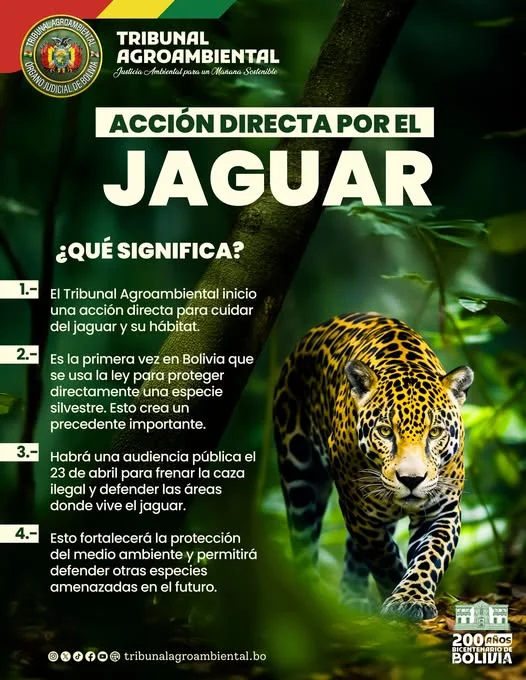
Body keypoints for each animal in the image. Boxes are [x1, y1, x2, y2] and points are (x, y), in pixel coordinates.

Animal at [273, 312, 473, 621]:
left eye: (435, 433)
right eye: (385, 432)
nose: (411, 479)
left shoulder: (441, 510)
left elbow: (430, 555)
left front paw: (411, 597)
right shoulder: (360, 512)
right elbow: (383, 556)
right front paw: (396, 589)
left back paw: (353, 598)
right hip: (299, 477)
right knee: (304, 539)